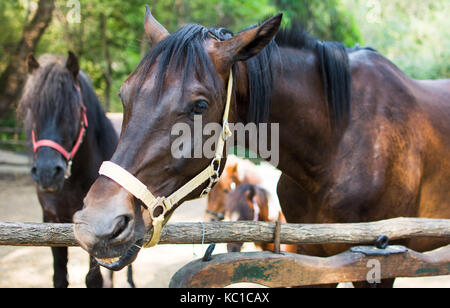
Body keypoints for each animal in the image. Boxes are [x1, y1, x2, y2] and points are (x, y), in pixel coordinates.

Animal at [18, 52, 134, 288]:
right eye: (32, 110)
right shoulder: (51, 220)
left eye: (72, 110)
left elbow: (93, 278)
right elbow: (60, 276)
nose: (46, 172)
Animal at [72, 9, 448, 288]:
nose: (97, 224)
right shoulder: (317, 258)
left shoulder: (380, 263)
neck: (340, 143)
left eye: (199, 105)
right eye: (124, 94)